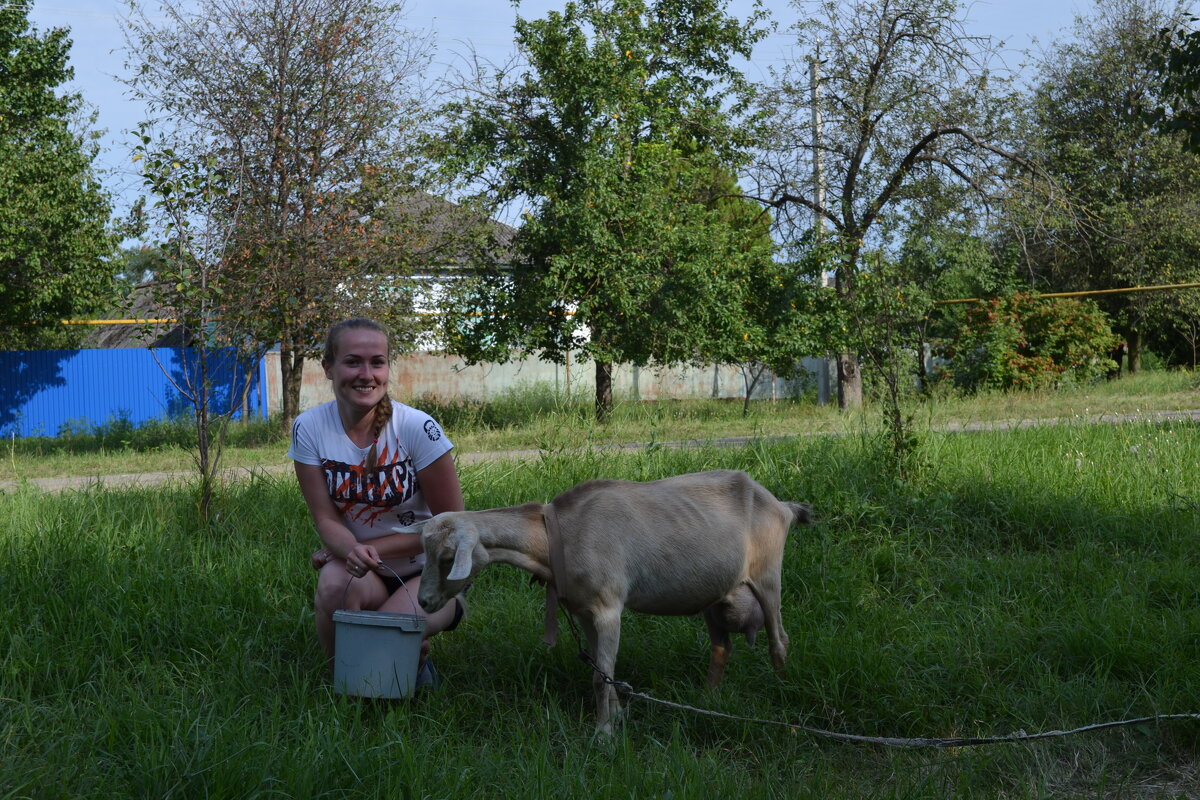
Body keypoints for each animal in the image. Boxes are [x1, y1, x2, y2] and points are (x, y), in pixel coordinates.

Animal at [398, 470, 811, 738]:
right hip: (715, 592)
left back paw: (783, 694)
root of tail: (783, 506)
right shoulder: (584, 611)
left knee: (780, 639)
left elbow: (601, 675)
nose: (424, 600)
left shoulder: (608, 607)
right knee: (721, 646)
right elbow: (602, 668)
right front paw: (617, 718)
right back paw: (709, 697)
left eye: (448, 558)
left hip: (767, 574)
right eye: (425, 551)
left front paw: (603, 734)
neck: (556, 536)